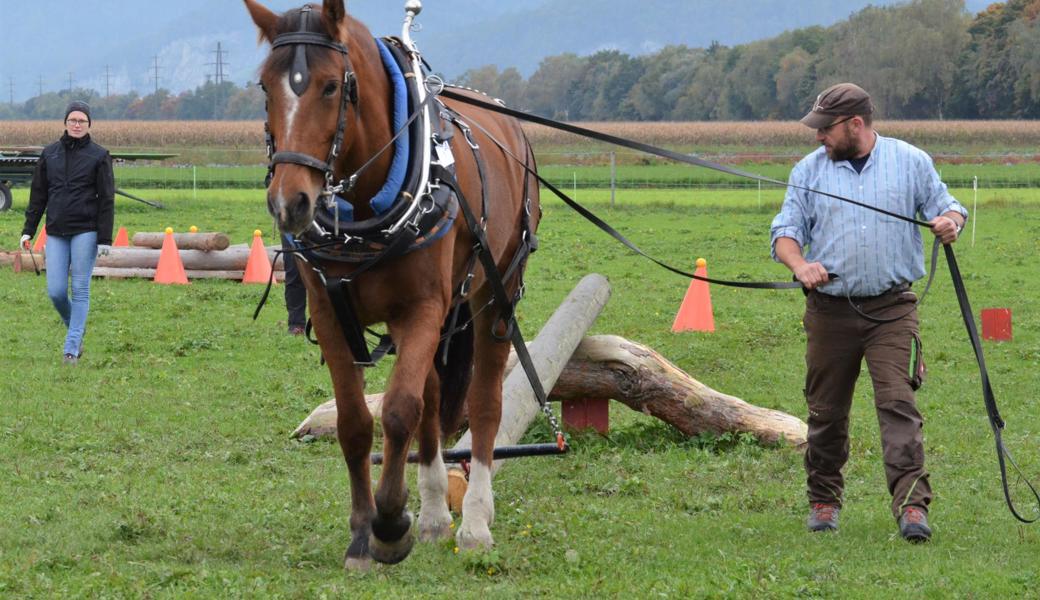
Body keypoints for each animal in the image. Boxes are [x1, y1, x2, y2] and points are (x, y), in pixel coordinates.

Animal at [242, 0, 536, 565]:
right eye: (266, 86)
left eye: (331, 86)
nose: (289, 203)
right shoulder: (332, 314)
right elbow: (357, 423)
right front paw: (364, 531)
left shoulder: (421, 308)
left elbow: (399, 411)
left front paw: (391, 524)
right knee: (433, 399)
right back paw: (436, 516)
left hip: (495, 293)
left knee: (484, 403)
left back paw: (474, 522)